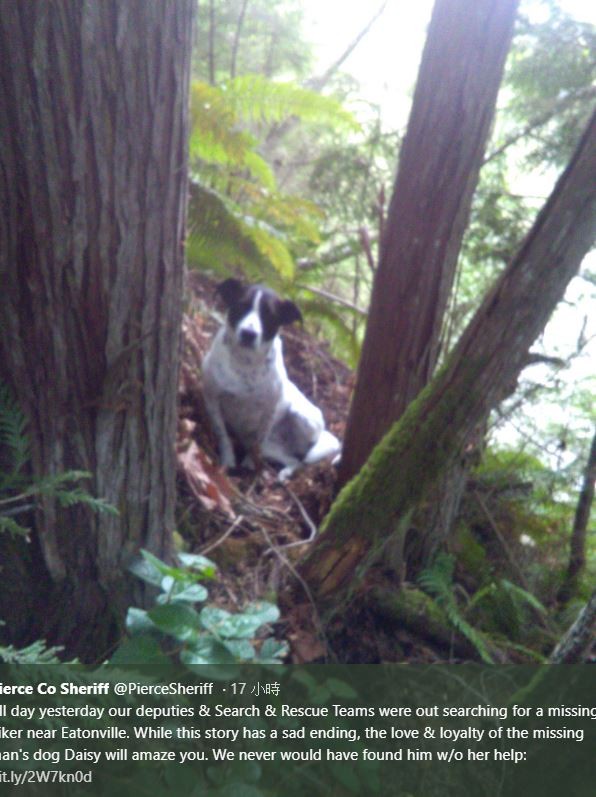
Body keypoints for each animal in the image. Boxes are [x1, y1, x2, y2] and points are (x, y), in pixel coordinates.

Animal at [203, 280, 340, 478]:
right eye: (241, 305)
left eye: (269, 315)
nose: (248, 333)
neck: (246, 363)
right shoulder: (211, 399)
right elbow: (223, 435)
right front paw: (228, 460)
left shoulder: (269, 412)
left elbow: (257, 442)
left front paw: (249, 464)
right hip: (272, 447)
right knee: (294, 460)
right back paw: (284, 473)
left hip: (301, 417)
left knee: (301, 458)